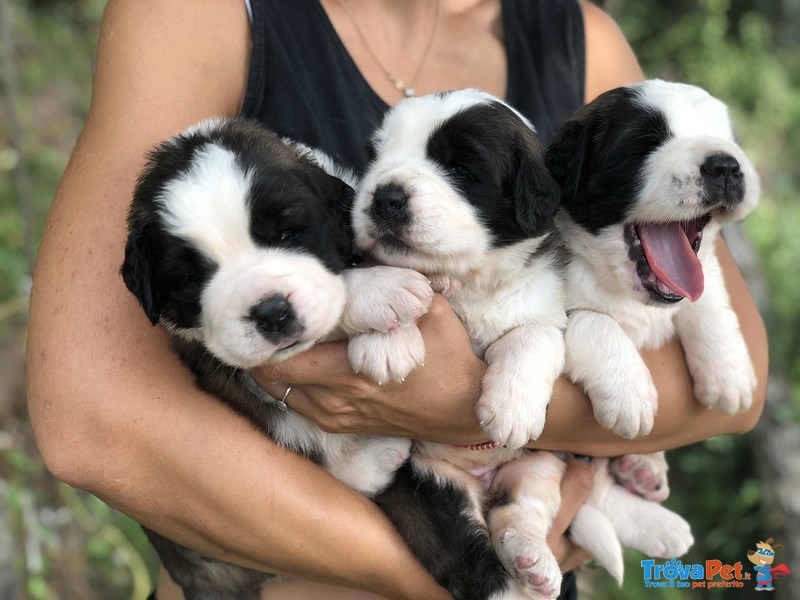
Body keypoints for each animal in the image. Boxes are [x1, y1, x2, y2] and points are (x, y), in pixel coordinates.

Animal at [120, 116, 432, 600]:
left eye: (287, 233)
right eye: (191, 277)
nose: (271, 312)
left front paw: (388, 332)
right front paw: (383, 293)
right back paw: (382, 453)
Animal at [548, 78, 760, 440]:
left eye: (726, 139)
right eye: (647, 144)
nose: (727, 166)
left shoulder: (702, 271)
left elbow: (707, 297)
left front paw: (729, 372)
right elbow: (592, 318)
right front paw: (629, 393)